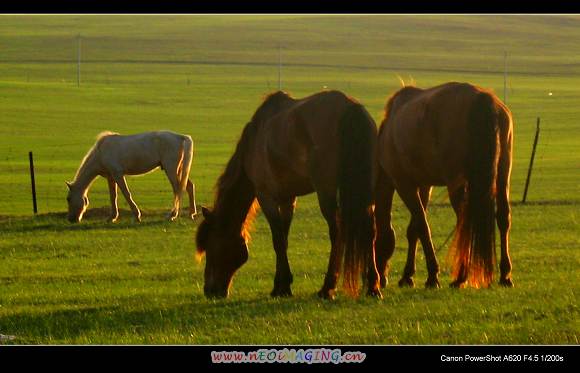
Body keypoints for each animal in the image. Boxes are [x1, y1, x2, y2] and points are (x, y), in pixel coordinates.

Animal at [65, 130, 197, 222]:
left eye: (68, 198)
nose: (71, 219)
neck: (101, 153)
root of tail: (181, 137)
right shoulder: (111, 177)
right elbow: (113, 196)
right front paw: (112, 217)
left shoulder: (118, 174)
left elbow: (126, 194)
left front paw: (137, 216)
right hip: (178, 170)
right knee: (189, 187)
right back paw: (191, 214)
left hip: (171, 169)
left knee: (178, 189)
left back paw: (172, 215)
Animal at [197, 90, 382, 300]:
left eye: (210, 246)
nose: (210, 290)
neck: (255, 138)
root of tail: (350, 108)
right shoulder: (288, 198)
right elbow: (284, 238)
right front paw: (283, 284)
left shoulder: (266, 196)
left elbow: (277, 240)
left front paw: (281, 287)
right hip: (367, 192)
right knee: (370, 230)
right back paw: (373, 286)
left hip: (326, 192)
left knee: (337, 232)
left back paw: (327, 287)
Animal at [374, 83, 516, 290]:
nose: (380, 278)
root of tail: (484, 100)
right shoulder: (424, 185)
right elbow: (414, 229)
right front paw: (408, 275)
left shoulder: (404, 185)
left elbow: (422, 226)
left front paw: (432, 275)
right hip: (503, 174)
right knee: (503, 218)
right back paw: (505, 274)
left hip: (456, 184)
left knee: (465, 221)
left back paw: (461, 277)